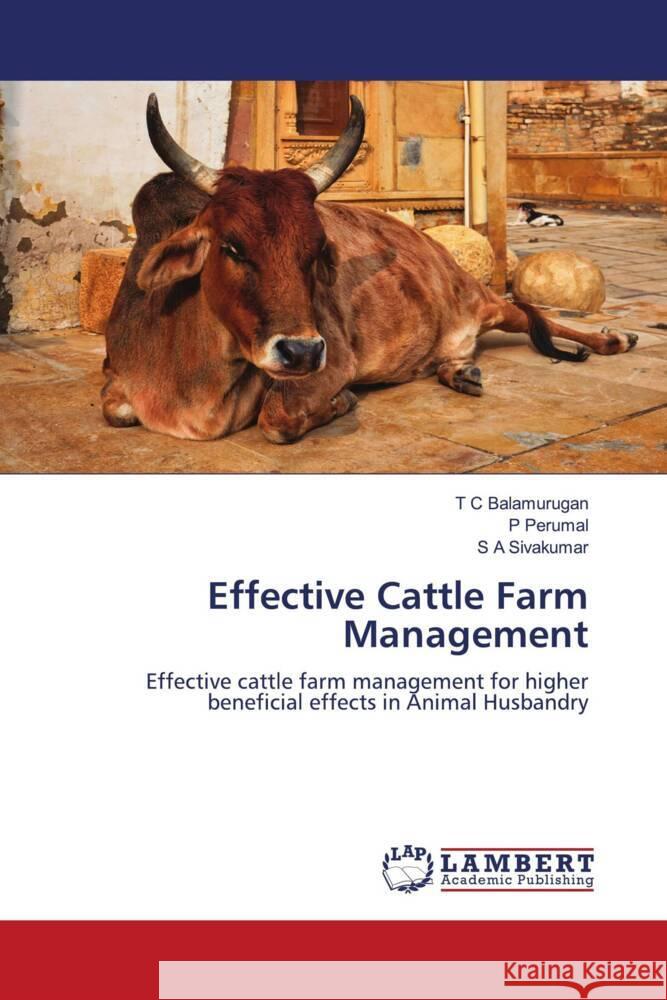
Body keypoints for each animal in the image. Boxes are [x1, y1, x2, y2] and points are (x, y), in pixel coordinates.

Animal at [102, 93, 638, 444]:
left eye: (318, 249)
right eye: (231, 247)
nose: (301, 351)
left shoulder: (334, 361)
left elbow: (277, 419)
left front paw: (343, 402)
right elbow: (116, 409)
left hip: (483, 301)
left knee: (533, 315)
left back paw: (613, 339)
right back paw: (461, 372)